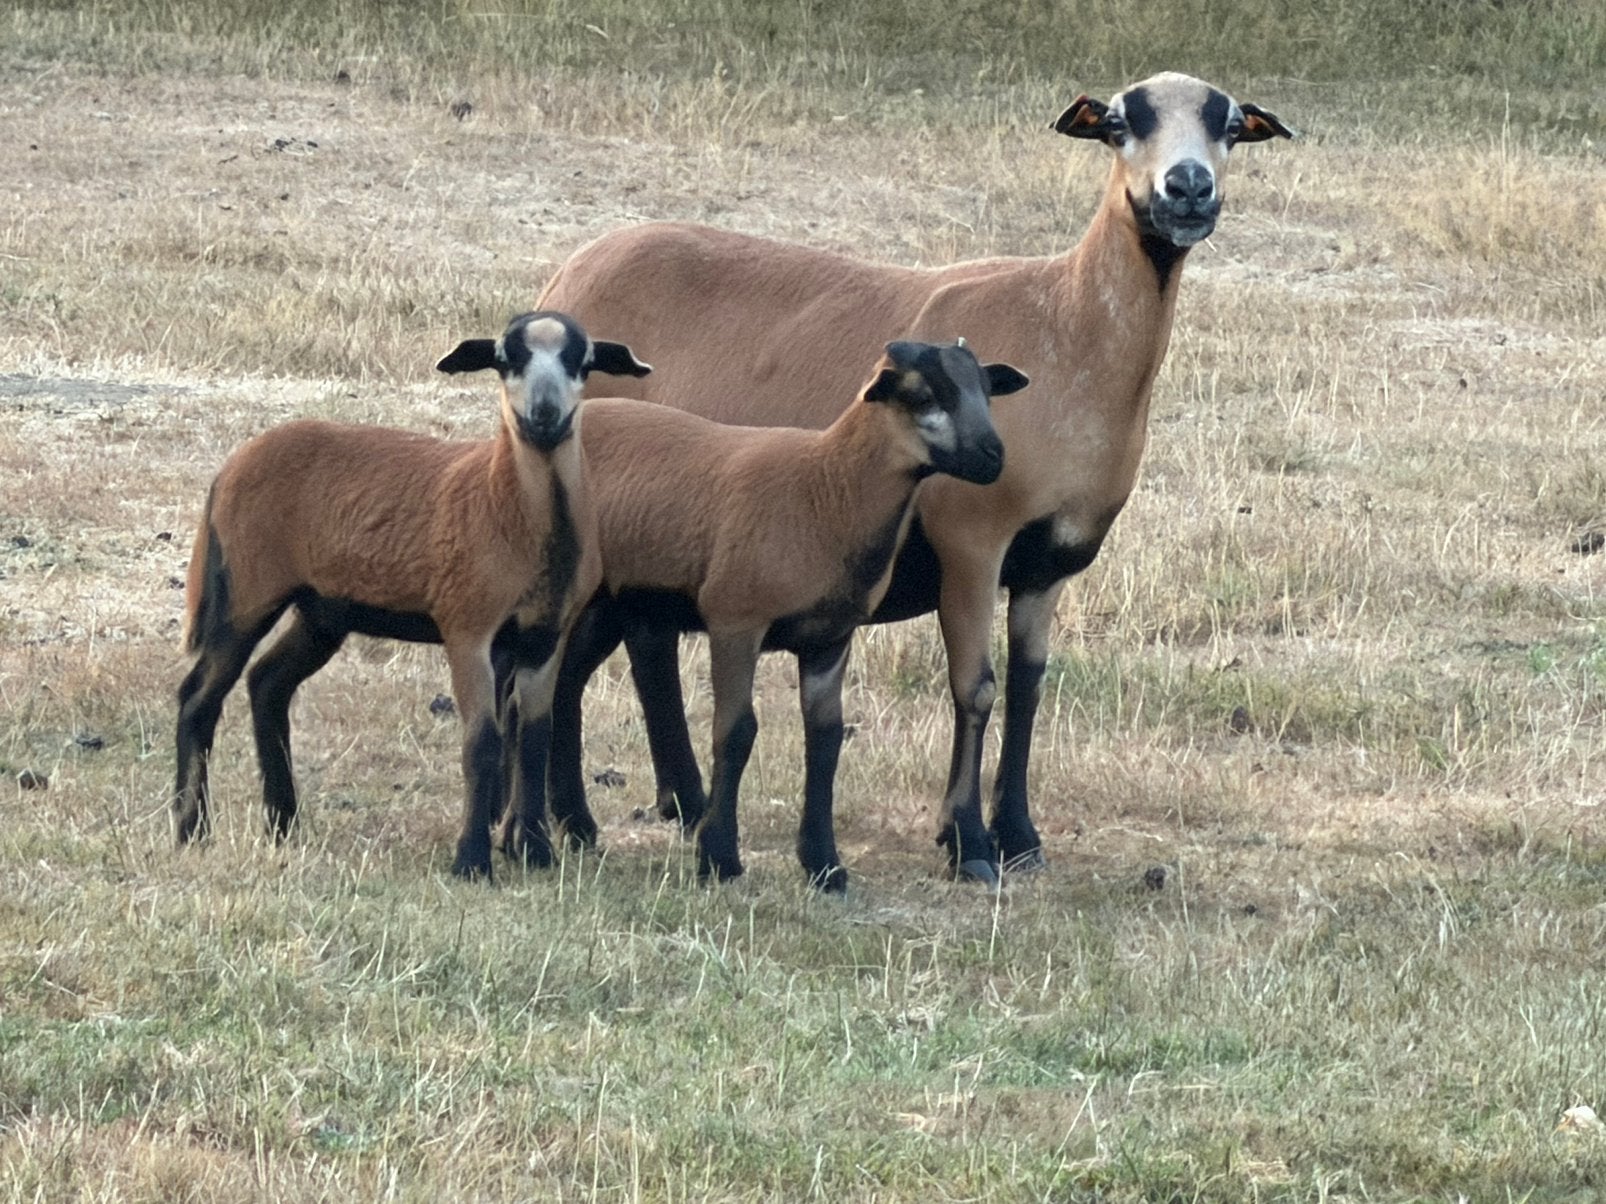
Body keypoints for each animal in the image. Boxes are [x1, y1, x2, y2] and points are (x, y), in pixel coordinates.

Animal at [171, 311, 651, 879]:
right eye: (505, 359)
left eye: (582, 361)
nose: (544, 415)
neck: (508, 505)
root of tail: (227, 470)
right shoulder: (467, 627)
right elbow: (482, 742)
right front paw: (471, 860)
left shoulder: (544, 636)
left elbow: (534, 737)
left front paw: (535, 852)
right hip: (245, 591)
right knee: (198, 697)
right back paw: (191, 829)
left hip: (322, 609)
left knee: (268, 683)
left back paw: (284, 823)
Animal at [541, 340, 1027, 889]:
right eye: (922, 395)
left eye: (986, 390)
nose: (994, 457)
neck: (828, 488)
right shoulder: (735, 619)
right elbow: (735, 732)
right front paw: (719, 857)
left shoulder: (829, 638)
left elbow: (826, 737)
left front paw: (824, 865)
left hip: (614, 599)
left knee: (564, 685)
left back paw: (576, 824)